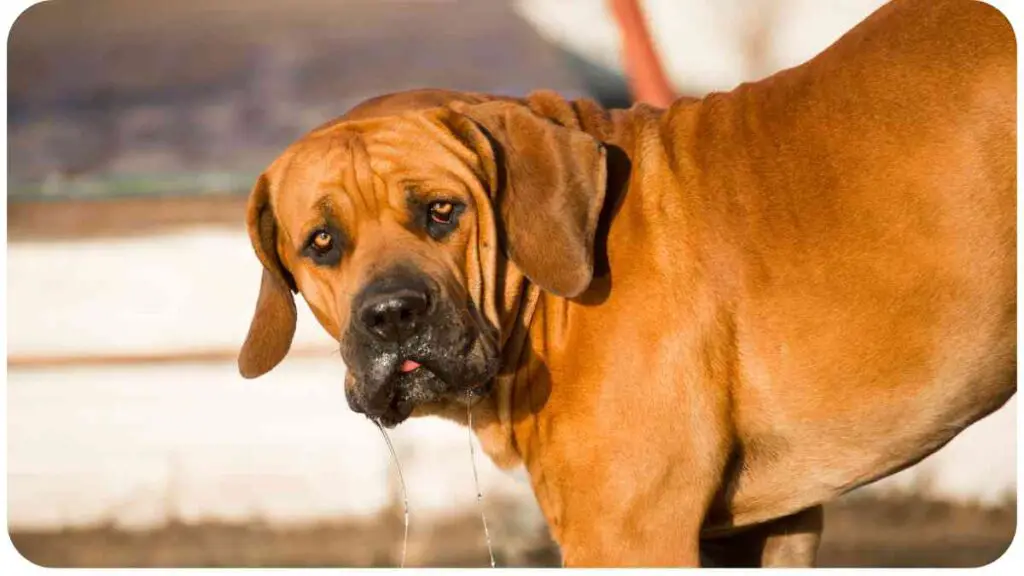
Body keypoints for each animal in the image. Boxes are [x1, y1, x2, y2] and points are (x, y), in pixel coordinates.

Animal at [237, 0, 1015, 565]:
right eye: (322, 242)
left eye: (441, 211)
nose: (393, 314)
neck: (542, 308)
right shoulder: (760, 529)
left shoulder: (627, 532)